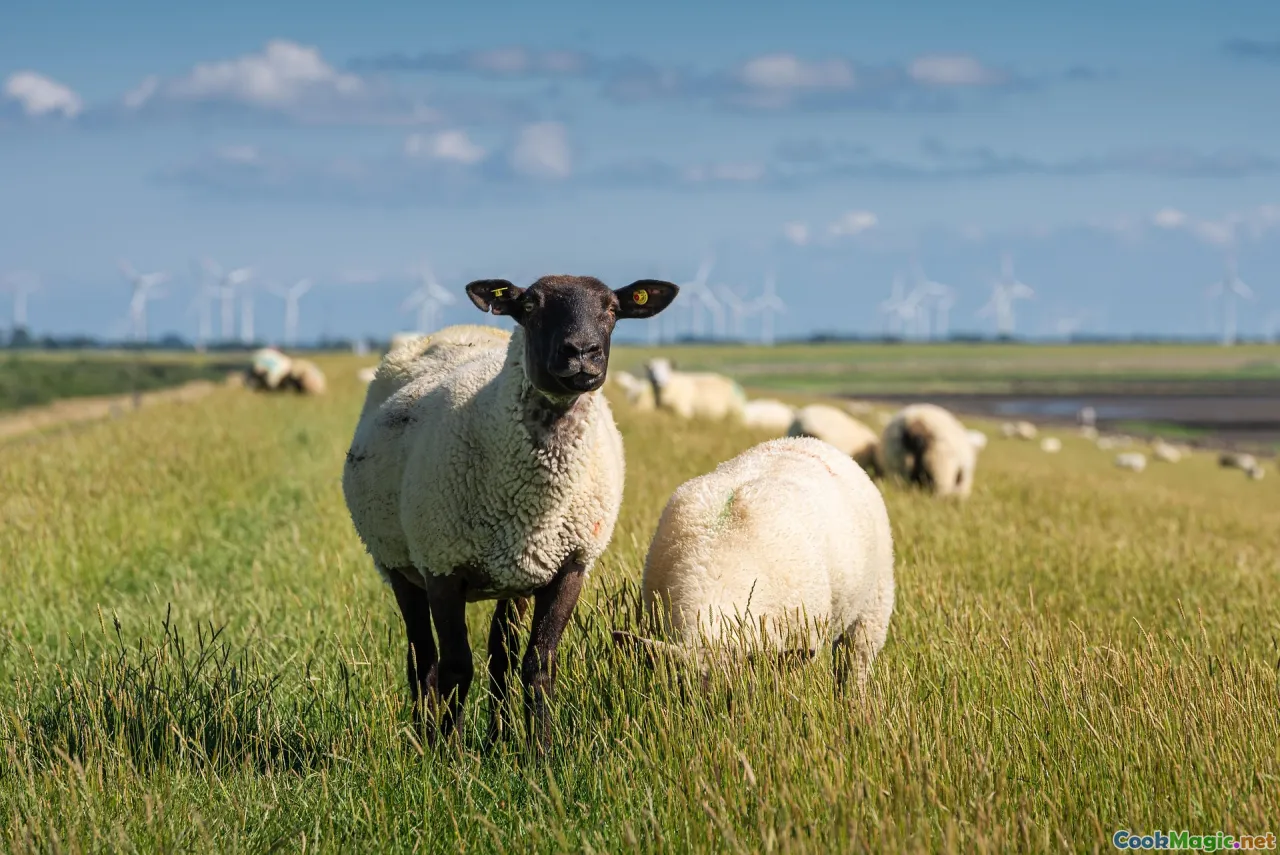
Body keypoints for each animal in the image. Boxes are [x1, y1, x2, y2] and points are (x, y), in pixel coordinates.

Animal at [342, 274, 677, 751]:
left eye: (613, 309)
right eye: (530, 305)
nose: (582, 352)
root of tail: (453, 330)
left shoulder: (570, 566)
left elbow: (538, 664)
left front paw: (541, 750)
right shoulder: (442, 565)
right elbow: (456, 666)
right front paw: (449, 751)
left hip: (516, 575)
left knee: (500, 656)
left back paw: (499, 736)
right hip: (397, 562)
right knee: (423, 658)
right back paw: (425, 735)